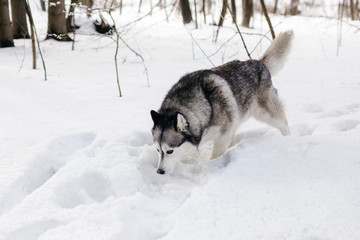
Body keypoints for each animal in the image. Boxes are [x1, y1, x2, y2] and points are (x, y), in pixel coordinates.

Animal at [150, 30, 294, 174]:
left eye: (170, 151)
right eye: (157, 150)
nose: (159, 171)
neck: (206, 105)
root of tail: (258, 63)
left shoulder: (223, 134)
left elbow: (215, 154)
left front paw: (210, 165)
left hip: (266, 113)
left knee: (284, 124)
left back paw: (287, 139)